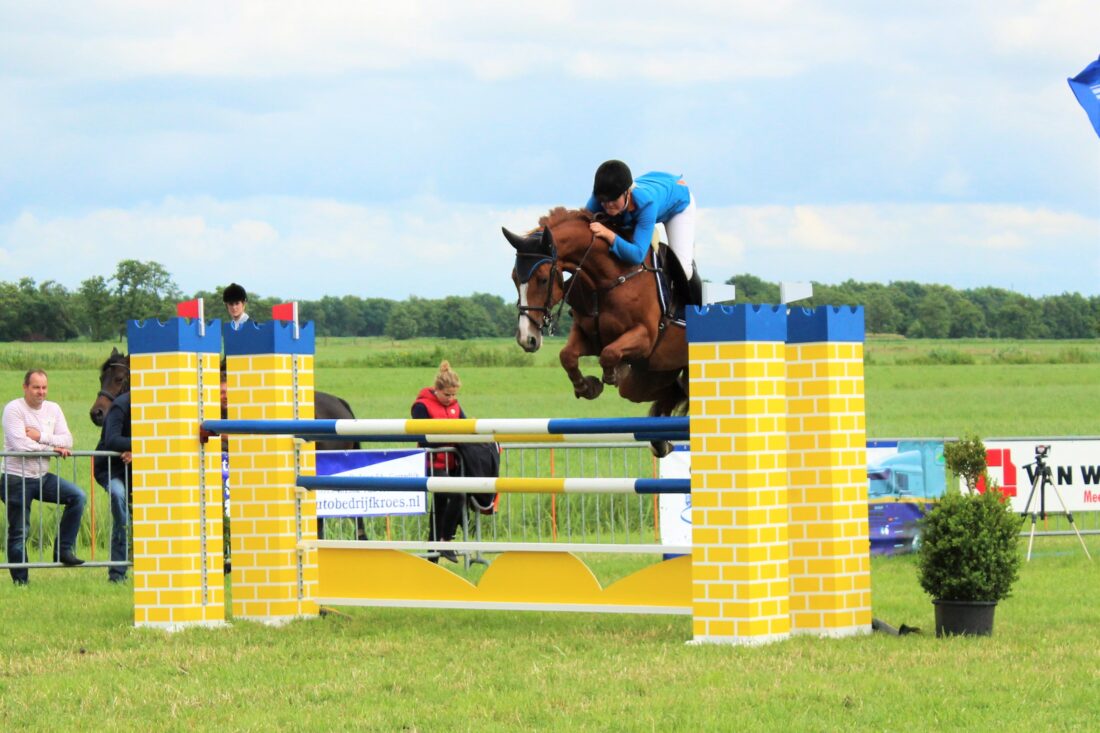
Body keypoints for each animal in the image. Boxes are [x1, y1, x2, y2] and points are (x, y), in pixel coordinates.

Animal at [503, 205, 686, 453]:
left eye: (542, 279)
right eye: (514, 278)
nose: (526, 338)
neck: (608, 280)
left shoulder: (645, 337)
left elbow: (609, 353)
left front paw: (612, 374)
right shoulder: (588, 335)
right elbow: (567, 356)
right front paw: (587, 386)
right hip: (653, 375)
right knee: (667, 391)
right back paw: (660, 441)